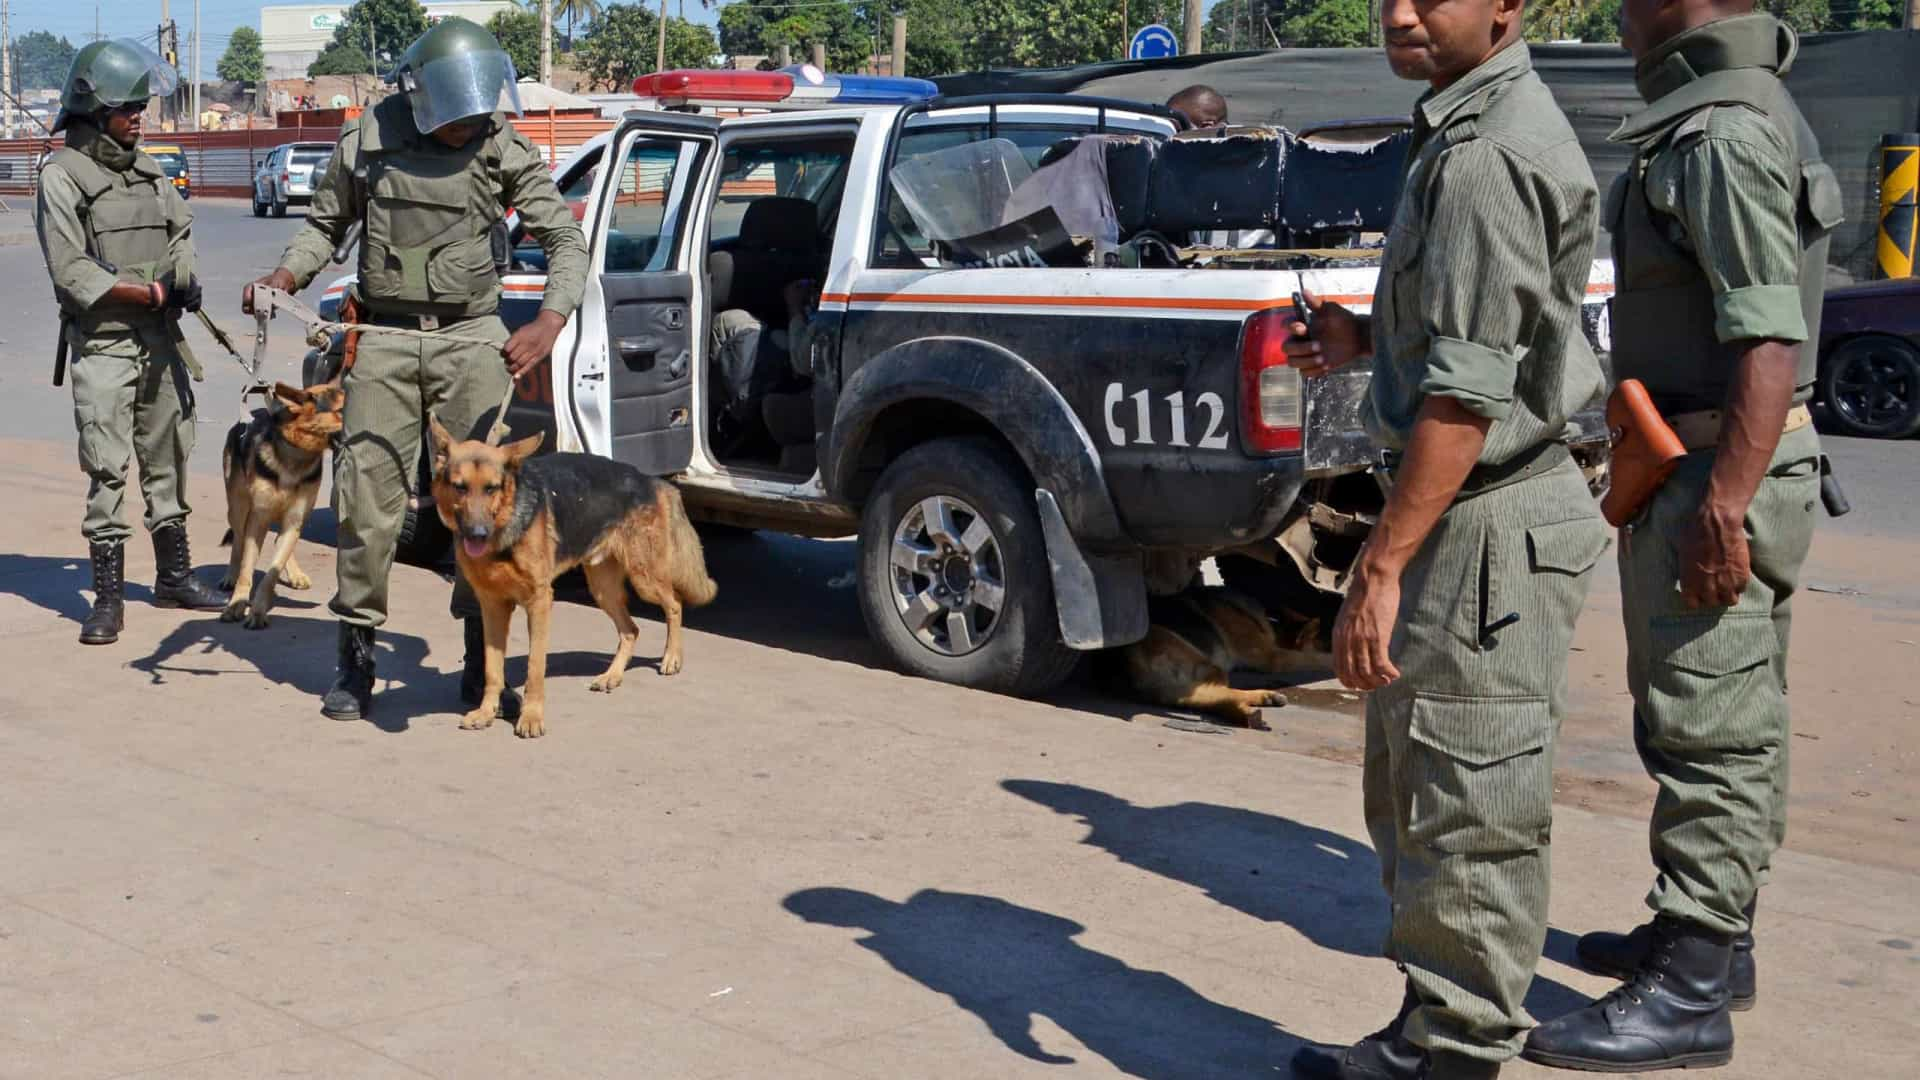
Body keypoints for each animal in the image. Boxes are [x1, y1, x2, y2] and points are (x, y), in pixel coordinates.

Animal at [219, 382, 345, 626]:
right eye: (342, 410)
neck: (298, 454)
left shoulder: (294, 519)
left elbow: (272, 572)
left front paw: (258, 610)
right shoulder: (258, 519)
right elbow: (246, 568)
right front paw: (237, 603)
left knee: (279, 541)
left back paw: (295, 574)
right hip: (237, 506)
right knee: (238, 540)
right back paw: (230, 576)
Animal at [428, 417, 721, 734]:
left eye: (491, 488)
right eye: (460, 487)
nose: (478, 534)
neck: (505, 528)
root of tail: (650, 480)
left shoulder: (539, 602)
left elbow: (535, 667)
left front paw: (531, 717)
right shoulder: (492, 606)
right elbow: (492, 668)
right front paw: (486, 712)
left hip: (645, 578)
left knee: (674, 603)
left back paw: (671, 657)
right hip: (603, 590)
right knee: (631, 629)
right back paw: (612, 676)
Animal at [1121, 584, 1328, 726]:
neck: (1272, 623)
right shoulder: (1273, 657)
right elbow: (1316, 658)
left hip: (1181, 682)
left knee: (1201, 697)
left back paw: (1255, 706)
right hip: (1208, 666)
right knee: (1220, 692)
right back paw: (1252, 706)